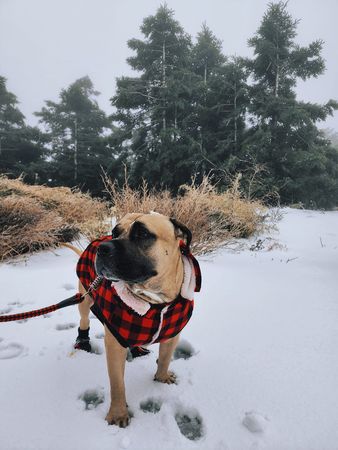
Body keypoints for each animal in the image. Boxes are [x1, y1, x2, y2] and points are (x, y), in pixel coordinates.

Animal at [73, 213, 201, 428]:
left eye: (142, 234)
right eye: (115, 232)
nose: (103, 248)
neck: (156, 302)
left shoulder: (172, 334)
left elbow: (165, 358)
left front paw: (162, 378)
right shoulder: (114, 343)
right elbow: (117, 383)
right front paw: (118, 413)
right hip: (85, 296)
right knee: (84, 319)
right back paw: (82, 341)